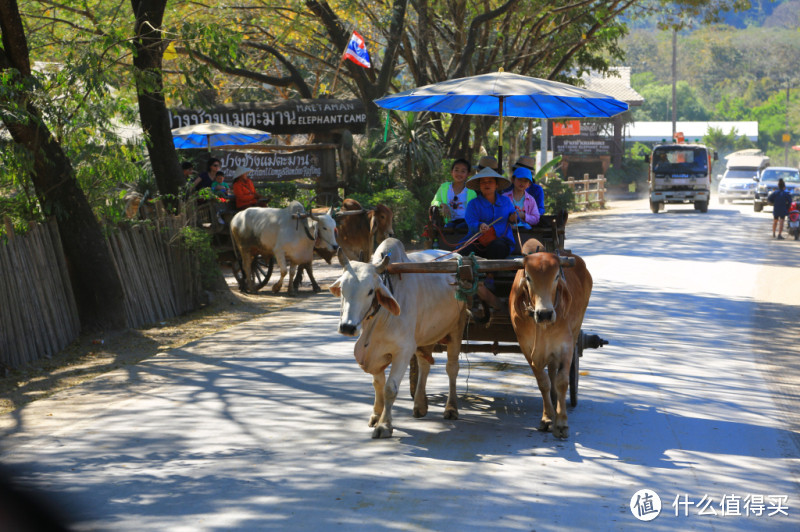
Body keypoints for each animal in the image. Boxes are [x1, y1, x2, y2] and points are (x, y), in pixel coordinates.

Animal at [330, 239, 468, 438]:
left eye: (370, 291)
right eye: (342, 289)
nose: (347, 327)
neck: (378, 320)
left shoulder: (403, 350)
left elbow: (390, 388)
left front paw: (384, 425)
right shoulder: (374, 353)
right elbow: (377, 383)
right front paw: (376, 415)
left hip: (457, 327)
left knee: (452, 369)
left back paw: (451, 408)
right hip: (425, 334)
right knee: (424, 364)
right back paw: (419, 405)